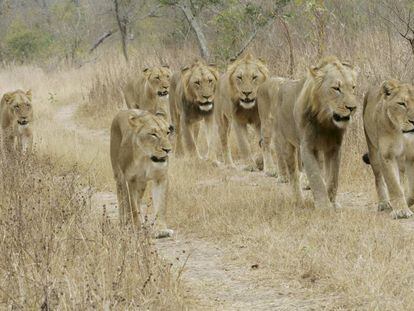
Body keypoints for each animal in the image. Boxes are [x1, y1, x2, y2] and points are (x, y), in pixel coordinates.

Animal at [109, 109, 174, 239]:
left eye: (167, 132)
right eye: (153, 134)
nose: (168, 150)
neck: (146, 157)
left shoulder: (161, 178)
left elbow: (161, 205)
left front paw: (161, 230)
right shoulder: (129, 180)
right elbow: (132, 207)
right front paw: (137, 228)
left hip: (141, 184)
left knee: (138, 201)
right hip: (119, 176)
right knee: (122, 199)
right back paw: (124, 222)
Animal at [274, 57, 358, 211]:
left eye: (353, 88)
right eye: (336, 88)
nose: (352, 108)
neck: (326, 122)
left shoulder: (334, 147)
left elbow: (333, 178)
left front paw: (332, 203)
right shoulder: (306, 147)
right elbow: (315, 177)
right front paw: (324, 207)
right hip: (286, 142)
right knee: (293, 174)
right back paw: (298, 200)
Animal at [362, 79, 414, 219]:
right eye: (402, 104)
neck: (402, 133)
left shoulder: (411, 156)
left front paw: (407, 203)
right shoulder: (386, 155)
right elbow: (393, 185)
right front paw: (401, 210)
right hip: (373, 151)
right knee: (379, 178)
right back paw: (384, 203)